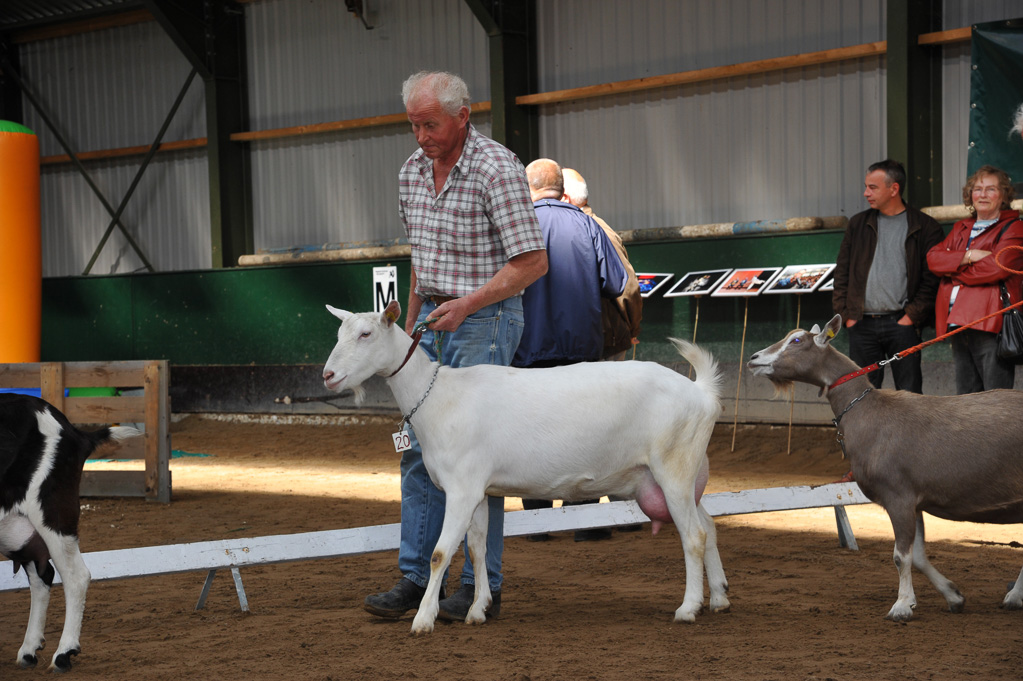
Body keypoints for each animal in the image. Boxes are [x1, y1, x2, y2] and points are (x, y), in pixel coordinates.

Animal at [0, 392, 140, 666]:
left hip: (53, 513)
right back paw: (29, 649)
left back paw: (64, 652)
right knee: (42, 577)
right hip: (19, 532)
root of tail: (75, 432)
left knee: (75, 575)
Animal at [323, 300, 732, 633]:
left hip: (674, 468)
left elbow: (441, 553)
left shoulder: (461, 488)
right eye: (340, 333)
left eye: (365, 334)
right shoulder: (478, 489)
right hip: (688, 473)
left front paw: (424, 620)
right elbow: (477, 547)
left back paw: (688, 608)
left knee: (693, 536)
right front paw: (477, 610)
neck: (438, 397)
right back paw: (719, 598)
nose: (327, 375)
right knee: (709, 527)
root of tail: (701, 392)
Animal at [744, 312, 1023, 621]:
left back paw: (1014, 596)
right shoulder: (915, 500)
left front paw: (901, 606)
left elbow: (901, 556)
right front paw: (954, 596)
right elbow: (919, 557)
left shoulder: (897, 495)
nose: (753, 359)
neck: (866, 410)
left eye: (796, 340)